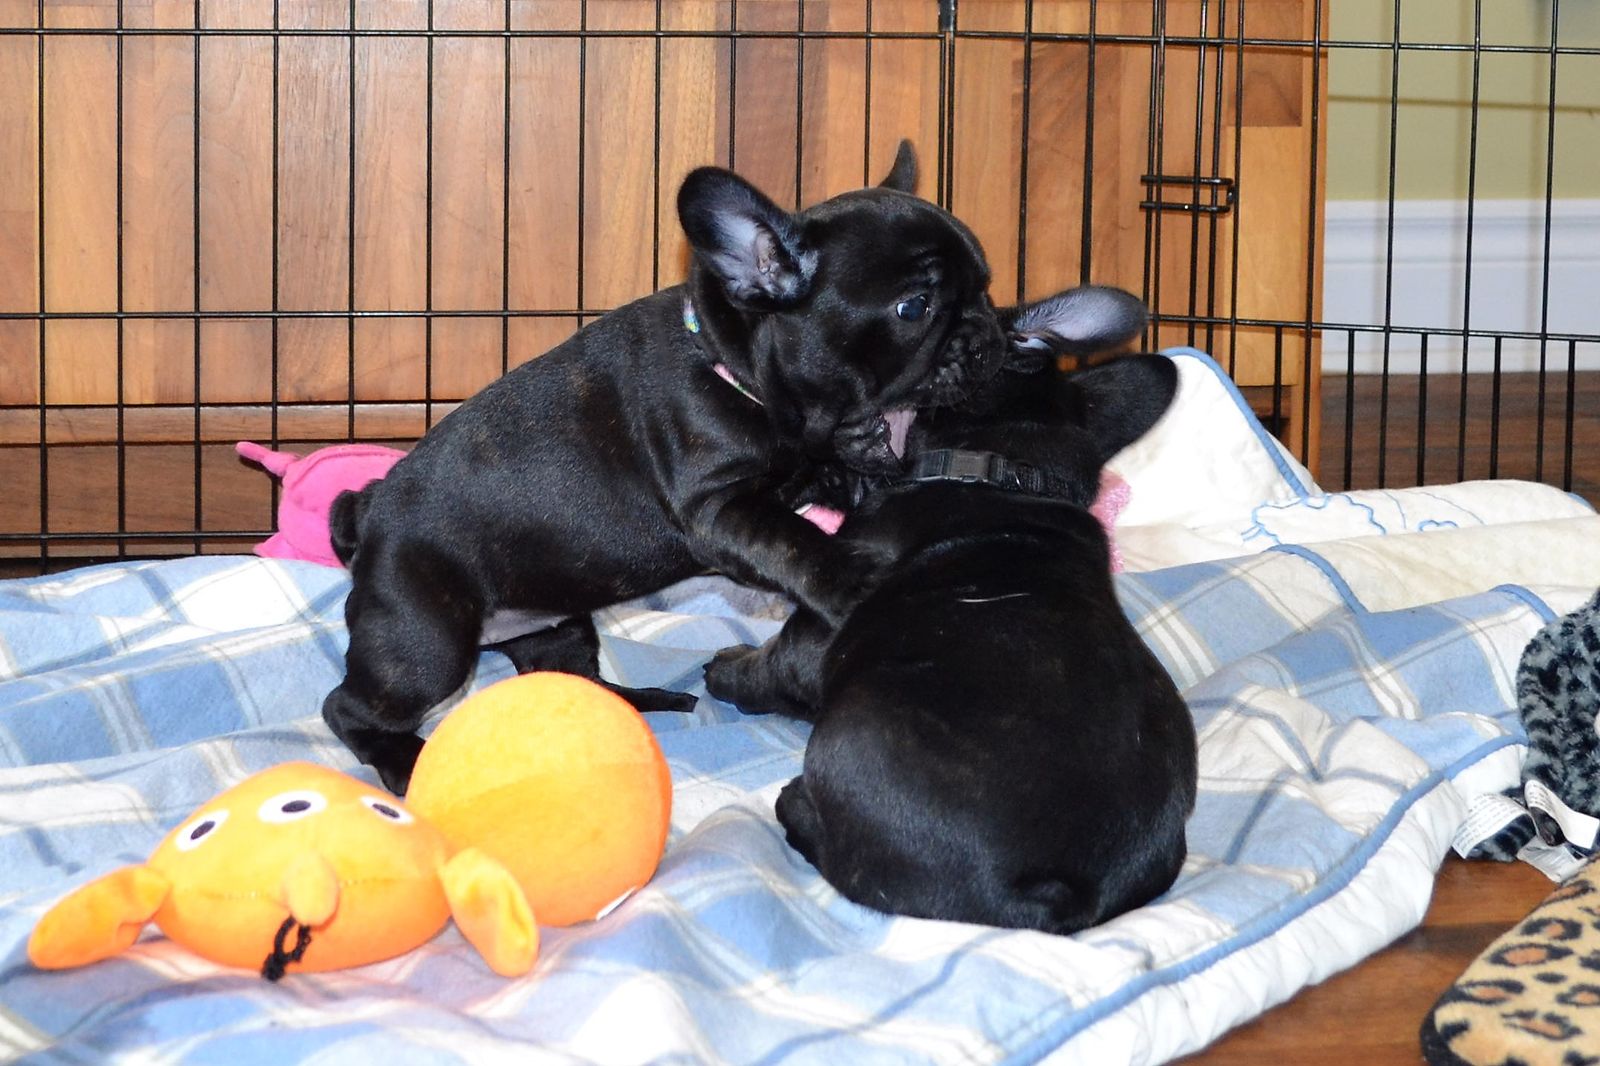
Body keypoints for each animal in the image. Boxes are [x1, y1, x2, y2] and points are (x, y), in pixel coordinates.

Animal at [321, 144, 1145, 795]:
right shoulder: (719, 508)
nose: (984, 339)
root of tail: (371, 507)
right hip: (425, 640)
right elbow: (793, 542)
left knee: (562, 672)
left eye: (986, 290)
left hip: (556, 616)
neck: (734, 365)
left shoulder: (804, 468)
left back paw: (639, 703)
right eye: (914, 307)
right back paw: (401, 761)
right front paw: (852, 583)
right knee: (349, 706)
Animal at [703, 307, 1196, 935]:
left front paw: (724, 669)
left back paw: (797, 804)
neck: (1009, 472)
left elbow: (768, 668)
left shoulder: (814, 634)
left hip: (850, 741)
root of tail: (1062, 897)